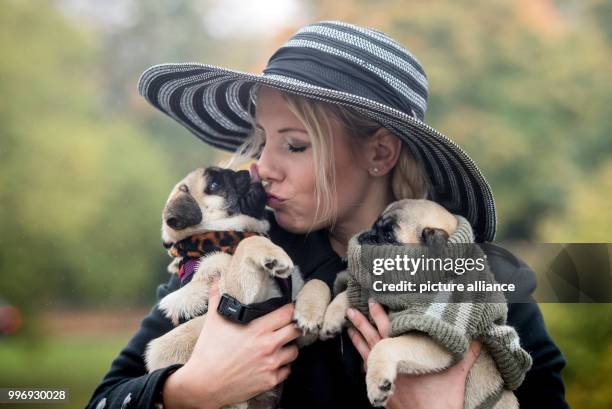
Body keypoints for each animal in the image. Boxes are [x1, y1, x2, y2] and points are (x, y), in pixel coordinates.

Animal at [145, 167, 330, 408]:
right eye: (214, 185)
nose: (243, 172)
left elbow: (319, 283)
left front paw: (309, 315)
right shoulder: (234, 298)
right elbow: (247, 242)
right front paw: (271, 253)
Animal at [320, 198, 532, 408]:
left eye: (388, 236)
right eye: (374, 226)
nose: (367, 235)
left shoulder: (436, 336)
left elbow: (384, 346)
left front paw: (377, 384)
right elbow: (345, 295)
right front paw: (330, 319)